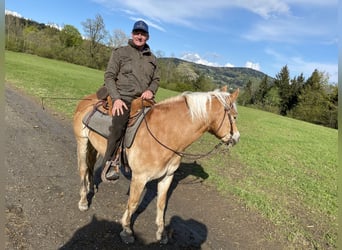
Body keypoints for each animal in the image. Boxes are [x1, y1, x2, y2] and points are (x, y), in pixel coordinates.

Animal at [73, 87, 240, 244]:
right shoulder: (140, 178)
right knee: (83, 169)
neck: (165, 134)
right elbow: (133, 203)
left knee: (90, 166)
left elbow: (161, 204)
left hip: (94, 147)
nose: (237, 138)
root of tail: (87, 100)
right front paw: (126, 230)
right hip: (82, 142)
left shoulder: (167, 177)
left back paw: (92, 187)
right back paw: (83, 201)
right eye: (234, 116)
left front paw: (161, 233)